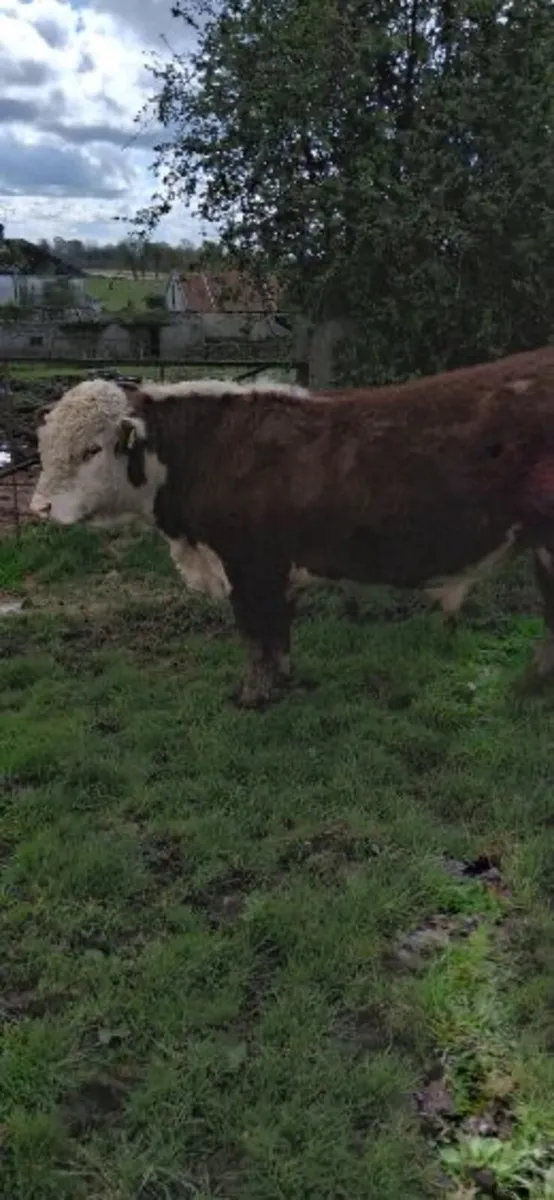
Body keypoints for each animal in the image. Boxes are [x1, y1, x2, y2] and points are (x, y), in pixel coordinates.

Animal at [29, 348, 554, 706]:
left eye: (91, 449)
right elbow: (277, 638)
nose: (40, 506)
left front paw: (252, 697)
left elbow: (258, 638)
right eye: (45, 444)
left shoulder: (249, 567)